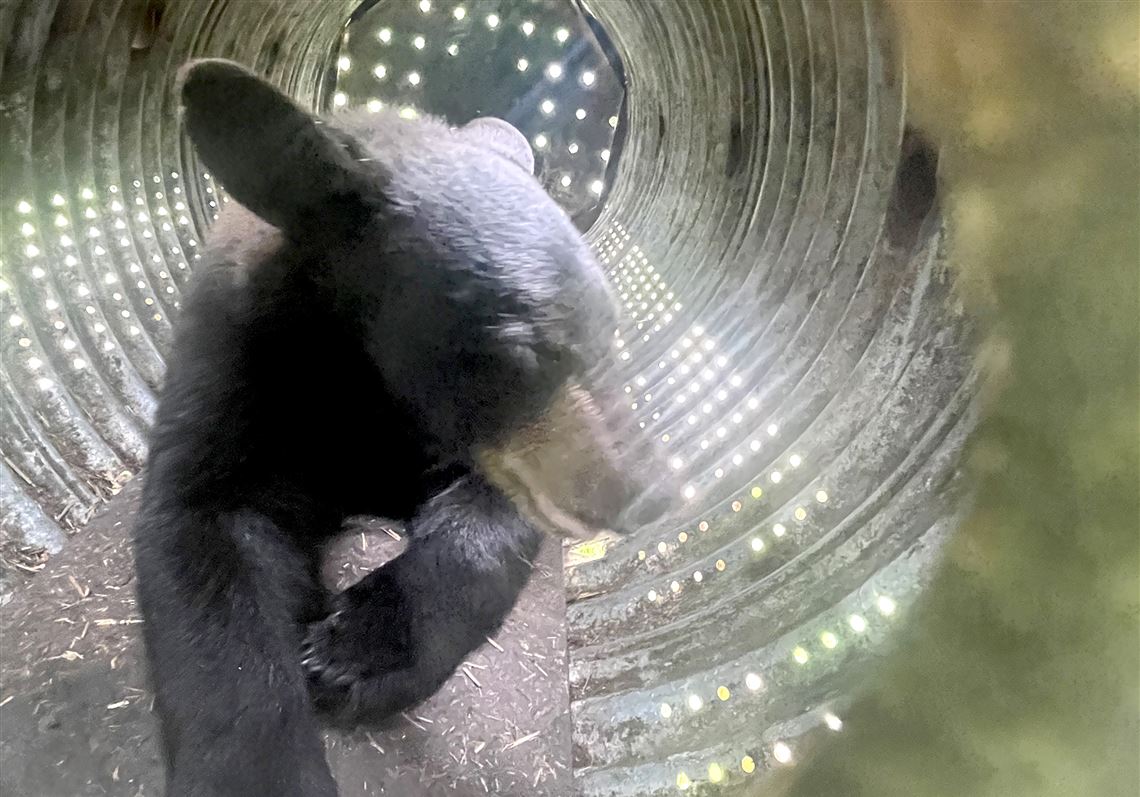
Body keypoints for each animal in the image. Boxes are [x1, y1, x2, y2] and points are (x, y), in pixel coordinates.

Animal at [132, 58, 673, 797]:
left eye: (614, 334)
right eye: (521, 351)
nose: (650, 493)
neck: (370, 392)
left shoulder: (471, 453)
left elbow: (484, 525)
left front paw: (356, 648)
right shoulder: (233, 372)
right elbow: (205, 551)